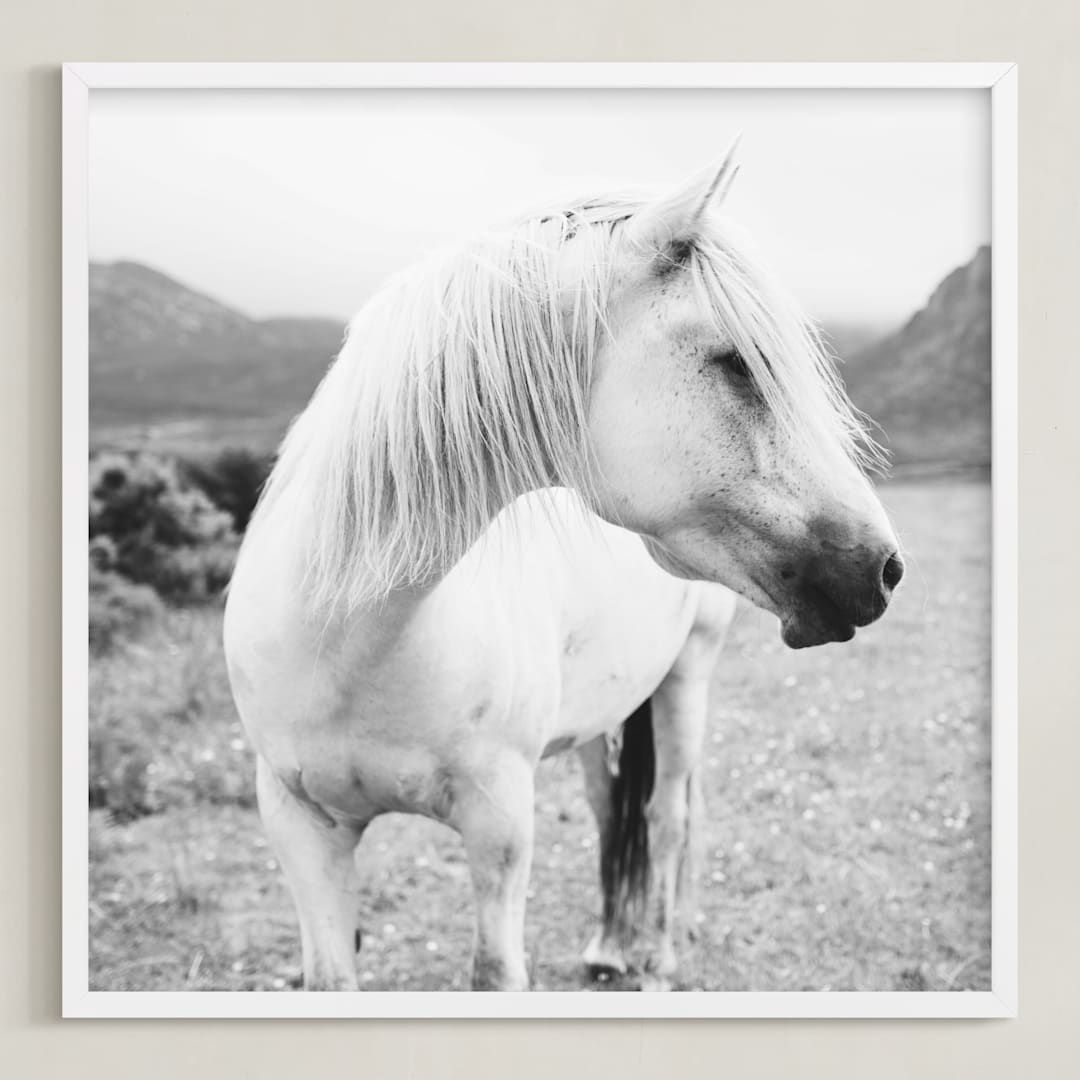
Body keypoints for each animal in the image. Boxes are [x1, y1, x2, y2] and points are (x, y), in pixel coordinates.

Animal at [222, 142, 904, 992]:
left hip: (688, 676)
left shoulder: (498, 822)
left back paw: (660, 953)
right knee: (616, 808)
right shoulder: (299, 827)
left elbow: (495, 970)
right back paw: (611, 943)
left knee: (669, 814)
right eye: (735, 362)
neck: (348, 642)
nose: (882, 567)